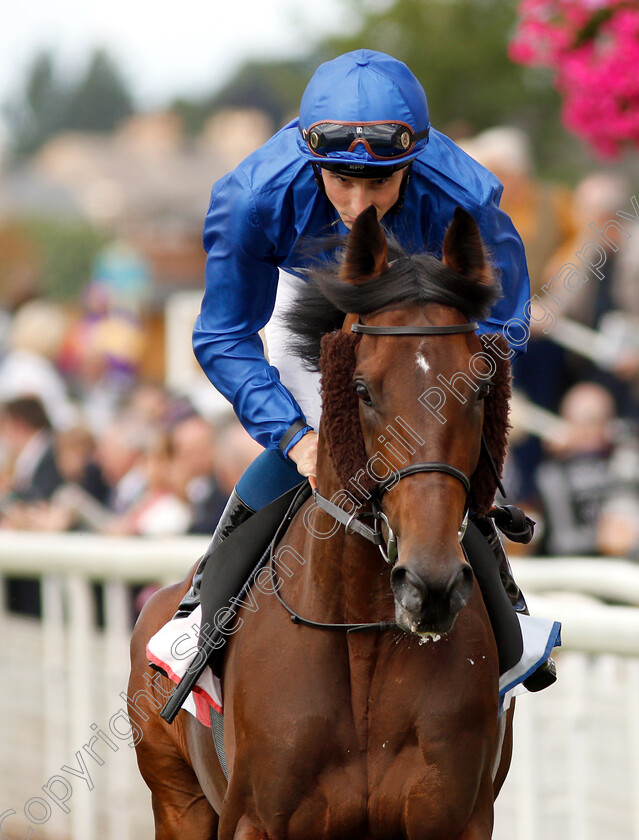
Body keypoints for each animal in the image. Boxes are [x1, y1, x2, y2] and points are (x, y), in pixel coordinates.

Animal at [129, 203, 516, 840]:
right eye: (361, 389)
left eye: (481, 387)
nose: (430, 583)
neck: (362, 636)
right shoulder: (256, 821)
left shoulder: (453, 817)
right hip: (175, 797)